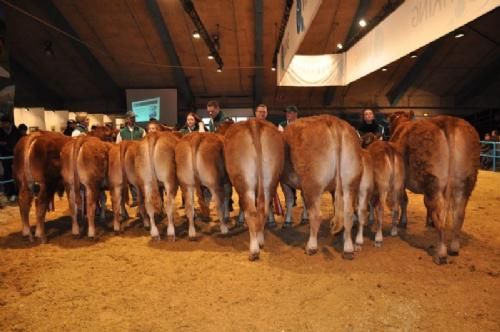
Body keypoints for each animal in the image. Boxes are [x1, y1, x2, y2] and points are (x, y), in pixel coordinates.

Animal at [224, 118, 284, 260]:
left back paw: (254, 250)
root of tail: (253, 122)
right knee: (264, 208)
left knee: (251, 211)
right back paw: (260, 240)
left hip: (244, 183)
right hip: (270, 180)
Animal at [282, 115, 364, 258]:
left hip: (313, 183)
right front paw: (303, 217)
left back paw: (311, 246)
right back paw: (348, 248)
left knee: (316, 216)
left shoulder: (285, 182)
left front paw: (287, 221)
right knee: (348, 213)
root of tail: (334, 121)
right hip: (351, 182)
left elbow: (289, 200)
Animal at [390, 112, 480, 264]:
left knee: (439, 215)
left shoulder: (400, 181)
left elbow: (403, 200)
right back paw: (454, 248)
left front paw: (402, 221)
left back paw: (441, 253)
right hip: (466, 181)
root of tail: (449, 121)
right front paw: (428, 222)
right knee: (459, 214)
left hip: (434, 182)